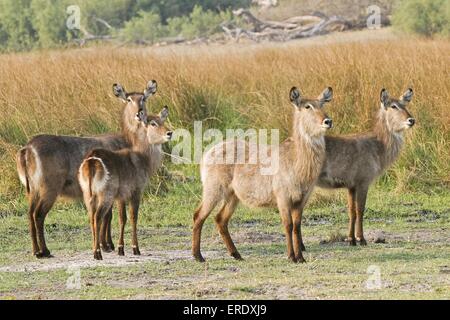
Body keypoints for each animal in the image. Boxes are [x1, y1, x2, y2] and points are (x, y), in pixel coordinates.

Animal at [15, 80, 158, 258]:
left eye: (143, 98)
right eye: (129, 99)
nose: (139, 113)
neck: (129, 141)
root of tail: (27, 148)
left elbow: (106, 216)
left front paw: (106, 244)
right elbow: (108, 216)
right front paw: (107, 245)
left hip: (33, 190)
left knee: (29, 214)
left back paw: (36, 250)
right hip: (49, 188)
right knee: (38, 215)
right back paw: (45, 251)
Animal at [78, 107, 171, 260]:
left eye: (162, 121)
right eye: (153, 123)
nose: (169, 133)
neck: (143, 157)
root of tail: (92, 159)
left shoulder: (120, 197)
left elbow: (122, 219)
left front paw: (120, 248)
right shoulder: (135, 192)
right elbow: (133, 218)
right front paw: (135, 248)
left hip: (89, 195)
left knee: (91, 217)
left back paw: (94, 250)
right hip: (105, 195)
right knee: (98, 217)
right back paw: (98, 253)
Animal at [193, 85, 334, 262]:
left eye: (322, 104)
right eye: (307, 106)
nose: (328, 121)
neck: (297, 159)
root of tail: (208, 152)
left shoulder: (301, 200)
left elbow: (297, 227)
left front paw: (301, 258)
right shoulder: (283, 197)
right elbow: (288, 226)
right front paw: (291, 256)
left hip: (233, 196)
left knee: (220, 219)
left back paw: (236, 254)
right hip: (213, 190)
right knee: (198, 216)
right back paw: (198, 256)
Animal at [316, 89, 414, 246]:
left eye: (404, 104)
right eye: (393, 106)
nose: (411, 120)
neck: (378, 144)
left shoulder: (351, 186)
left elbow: (352, 211)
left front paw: (351, 239)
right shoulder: (363, 183)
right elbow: (360, 210)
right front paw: (361, 239)